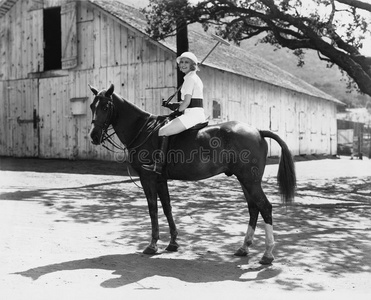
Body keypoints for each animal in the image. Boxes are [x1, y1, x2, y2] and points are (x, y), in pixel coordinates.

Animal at [88, 83, 296, 264]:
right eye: (92, 106)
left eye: (105, 106)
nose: (93, 136)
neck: (142, 130)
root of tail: (258, 131)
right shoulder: (161, 179)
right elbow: (167, 208)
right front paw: (173, 243)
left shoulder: (148, 178)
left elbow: (153, 209)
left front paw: (153, 245)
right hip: (245, 181)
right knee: (254, 208)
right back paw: (244, 248)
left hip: (250, 181)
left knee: (265, 207)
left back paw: (267, 254)